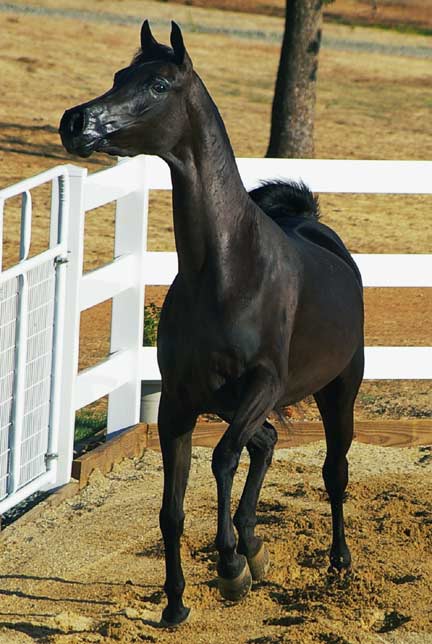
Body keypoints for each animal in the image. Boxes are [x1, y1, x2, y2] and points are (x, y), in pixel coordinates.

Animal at [60, 21, 364, 628]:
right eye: (119, 76)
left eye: (157, 84)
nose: (76, 122)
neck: (227, 271)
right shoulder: (179, 402)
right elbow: (171, 510)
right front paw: (177, 603)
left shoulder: (263, 384)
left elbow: (223, 459)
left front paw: (228, 569)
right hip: (226, 400)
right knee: (266, 442)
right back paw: (256, 547)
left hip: (337, 390)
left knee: (332, 469)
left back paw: (335, 561)